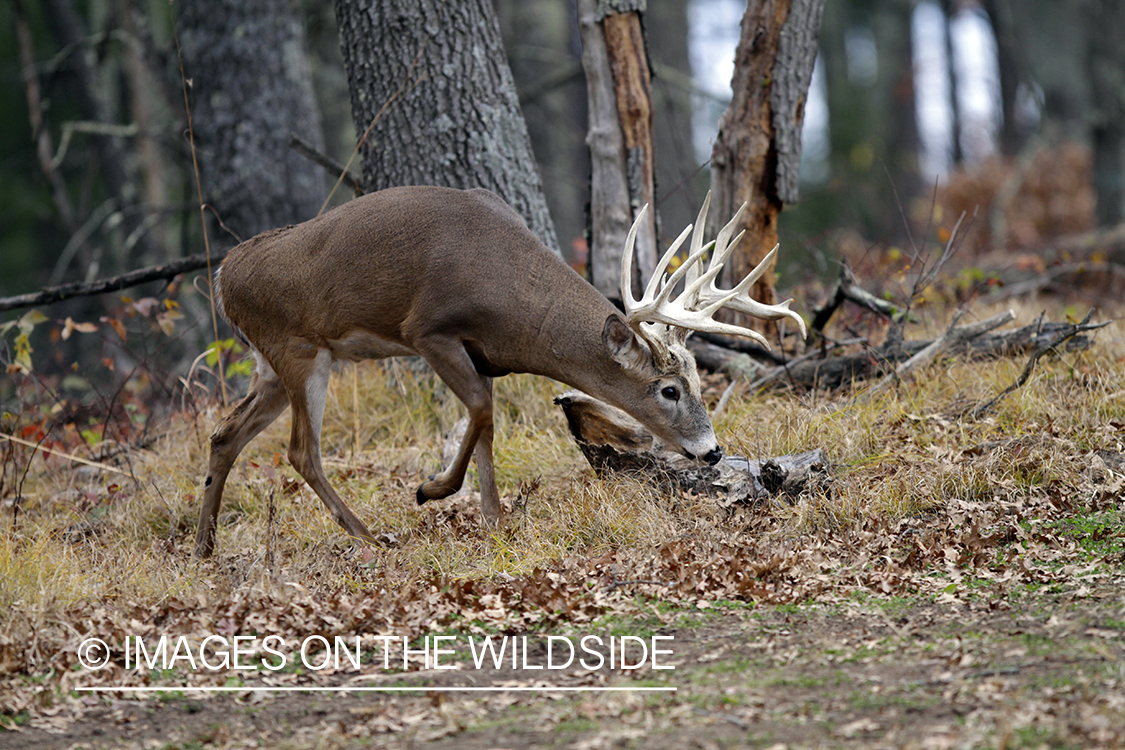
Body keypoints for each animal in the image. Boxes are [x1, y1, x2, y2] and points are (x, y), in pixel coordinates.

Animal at [195, 186, 810, 557]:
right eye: (668, 389)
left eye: (696, 380)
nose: (711, 450)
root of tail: (223, 276)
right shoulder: (429, 330)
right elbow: (481, 411)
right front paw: (433, 489)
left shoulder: (481, 354)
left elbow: (488, 424)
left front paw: (495, 521)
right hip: (299, 351)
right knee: (301, 449)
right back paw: (372, 537)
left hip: (271, 364)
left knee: (225, 434)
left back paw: (204, 548)